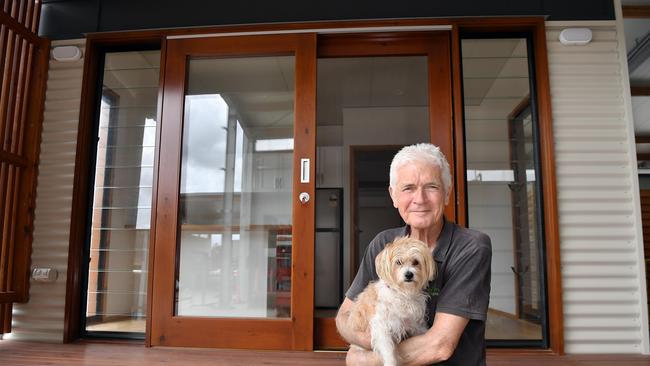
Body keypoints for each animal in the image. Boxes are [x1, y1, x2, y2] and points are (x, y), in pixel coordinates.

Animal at [344, 237, 436, 366]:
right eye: (398, 262)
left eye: (416, 262)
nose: (409, 274)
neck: (402, 293)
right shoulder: (381, 327)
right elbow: (388, 350)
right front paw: (391, 361)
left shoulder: (414, 324)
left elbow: (422, 331)